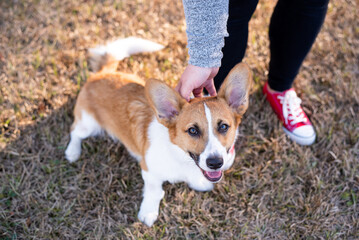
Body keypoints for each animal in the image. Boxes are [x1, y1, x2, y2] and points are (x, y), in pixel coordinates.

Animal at [64, 36, 252, 226]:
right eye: (192, 130)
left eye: (223, 127)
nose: (215, 163)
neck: (179, 155)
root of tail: (102, 73)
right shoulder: (149, 171)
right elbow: (154, 191)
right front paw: (148, 212)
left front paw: (199, 182)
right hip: (88, 124)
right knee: (74, 131)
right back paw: (72, 151)